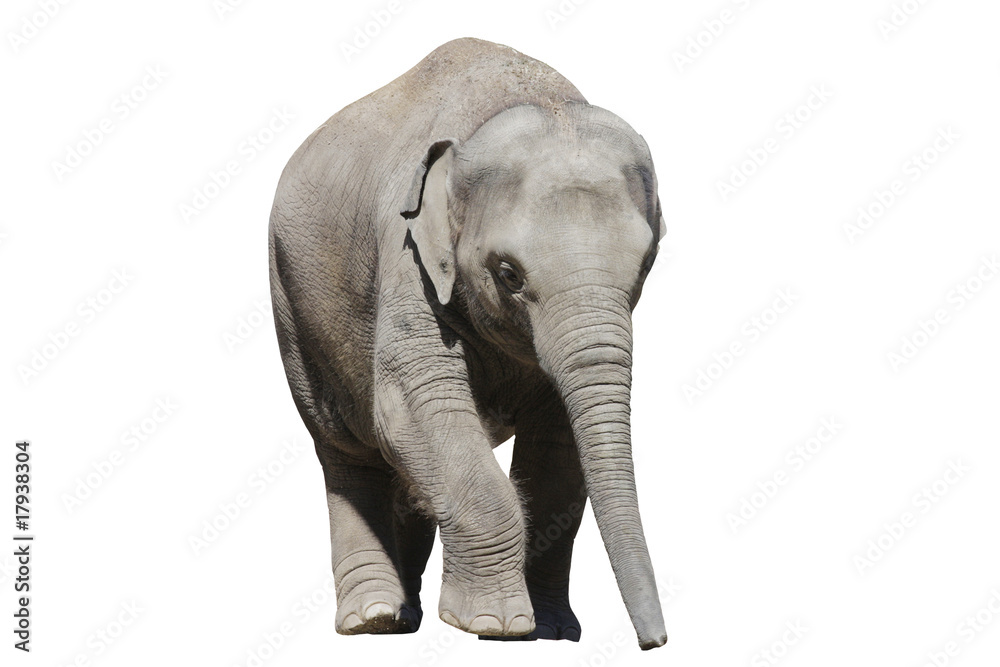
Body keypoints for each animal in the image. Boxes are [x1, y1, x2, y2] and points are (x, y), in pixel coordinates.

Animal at [268, 37, 668, 650]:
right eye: (508, 274)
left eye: (646, 264)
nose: (654, 642)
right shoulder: (406, 254)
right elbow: (413, 406)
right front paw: (493, 626)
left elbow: (557, 446)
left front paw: (550, 632)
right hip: (291, 302)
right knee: (346, 447)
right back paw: (373, 620)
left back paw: (403, 617)